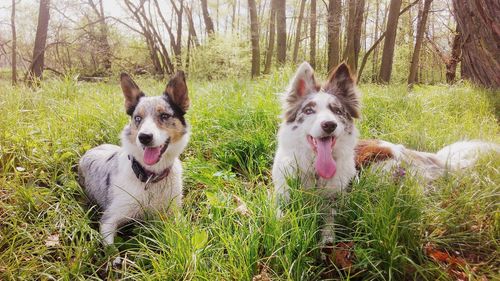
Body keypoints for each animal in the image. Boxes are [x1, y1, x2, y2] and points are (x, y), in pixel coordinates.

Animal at [79, 71, 190, 244]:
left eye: (164, 116)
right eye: (138, 118)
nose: (144, 137)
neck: (151, 177)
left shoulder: (174, 212)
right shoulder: (109, 219)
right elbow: (110, 247)